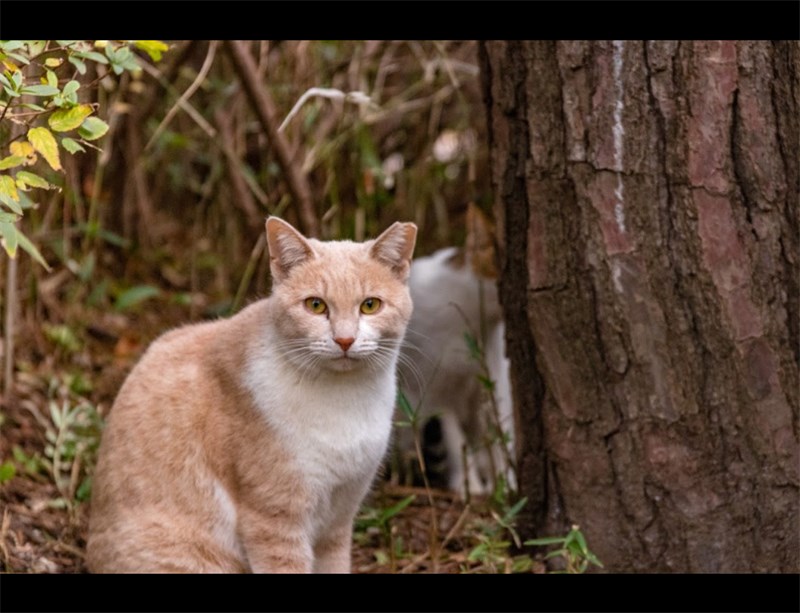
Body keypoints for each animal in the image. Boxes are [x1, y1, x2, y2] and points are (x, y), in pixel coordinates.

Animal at [87, 216, 418, 572]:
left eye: (370, 305)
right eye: (316, 305)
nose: (345, 340)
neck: (345, 400)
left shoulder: (338, 520)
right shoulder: (275, 521)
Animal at [396, 206, 516, 498]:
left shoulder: (494, 381)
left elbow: (500, 432)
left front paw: (507, 482)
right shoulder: (434, 389)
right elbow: (454, 439)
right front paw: (468, 485)